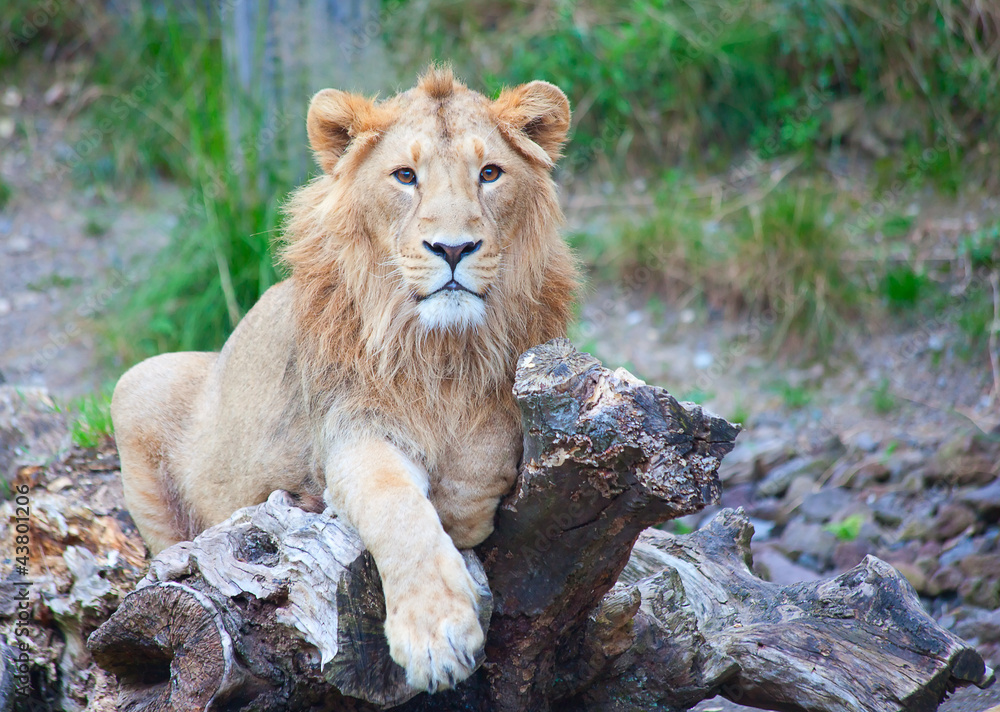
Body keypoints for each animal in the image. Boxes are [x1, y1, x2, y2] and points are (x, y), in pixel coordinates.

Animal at [111, 66, 577, 693]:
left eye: (489, 173)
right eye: (405, 176)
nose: (453, 248)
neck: (442, 348)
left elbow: (482, 453)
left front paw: (461, 508)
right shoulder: (348, 429)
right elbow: (394, 506)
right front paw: (437, 635)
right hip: (137, 384)